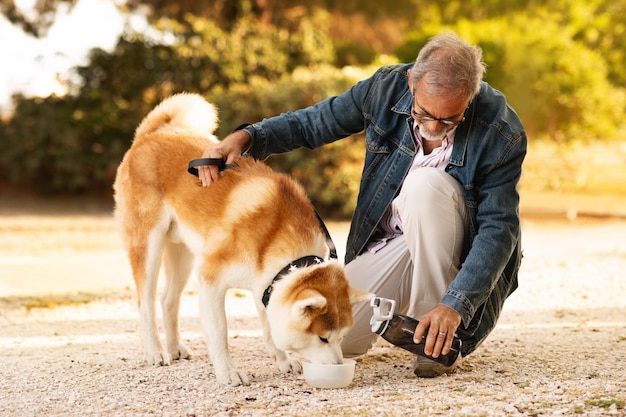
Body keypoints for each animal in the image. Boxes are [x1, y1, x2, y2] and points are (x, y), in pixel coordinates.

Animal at [112, 92, 370, 386]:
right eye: (323, 338)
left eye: (342, 336)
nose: (339, 365)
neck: (274, 237)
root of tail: (151, 135)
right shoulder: (211, 280)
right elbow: (219, 333)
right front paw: (227, 371)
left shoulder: (266, 284)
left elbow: (269, 329)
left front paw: (283, 361)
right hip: (150, 246)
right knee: (145, 303)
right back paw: (155, 351)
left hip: (184, 254)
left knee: (168, 301)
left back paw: (175, 347)